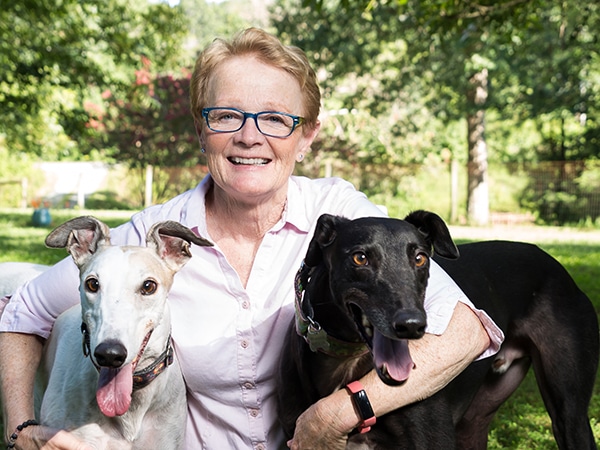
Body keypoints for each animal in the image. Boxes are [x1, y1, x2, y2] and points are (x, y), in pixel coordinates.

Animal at [278, 210, 599, 449]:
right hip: (474, 423)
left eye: (420, 257)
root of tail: (555, 264)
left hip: (569, 413)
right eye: (360, 257)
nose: (412, 325)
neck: (346, 365)